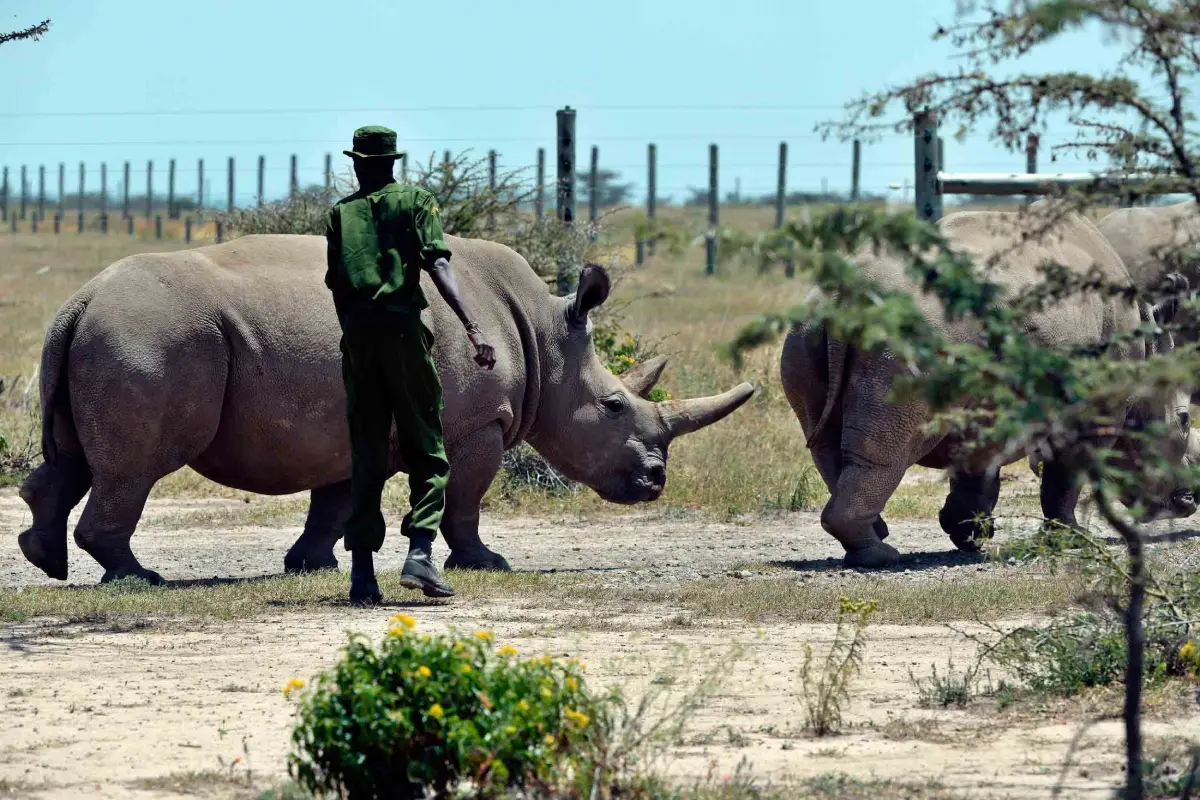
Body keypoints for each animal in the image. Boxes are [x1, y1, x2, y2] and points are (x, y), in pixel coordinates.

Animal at [16, 235, 748, 585]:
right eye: (613, 405)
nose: (655, 482)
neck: (545, 335)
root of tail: (79, 299)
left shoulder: (342, 420)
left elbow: (334, 496)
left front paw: (310, 564)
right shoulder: (475, 423)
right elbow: (464, 501)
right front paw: (486, 564)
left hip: (103, 333)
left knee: (72, 459)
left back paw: (46, 559)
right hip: (150, 335)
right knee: (135, 470)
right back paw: (140, 577)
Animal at [782, 201, 1195, 568]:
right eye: (1185, 419)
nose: (1190, 502)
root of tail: (844, 296)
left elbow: (978, 470)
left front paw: (970, 534)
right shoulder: (1095, 411)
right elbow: (1066, 476)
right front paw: (1074, 538)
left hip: (807, 328)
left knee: (825, 444)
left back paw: (876, 538)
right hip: (910, 339)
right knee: (886, 451)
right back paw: (880, 557)